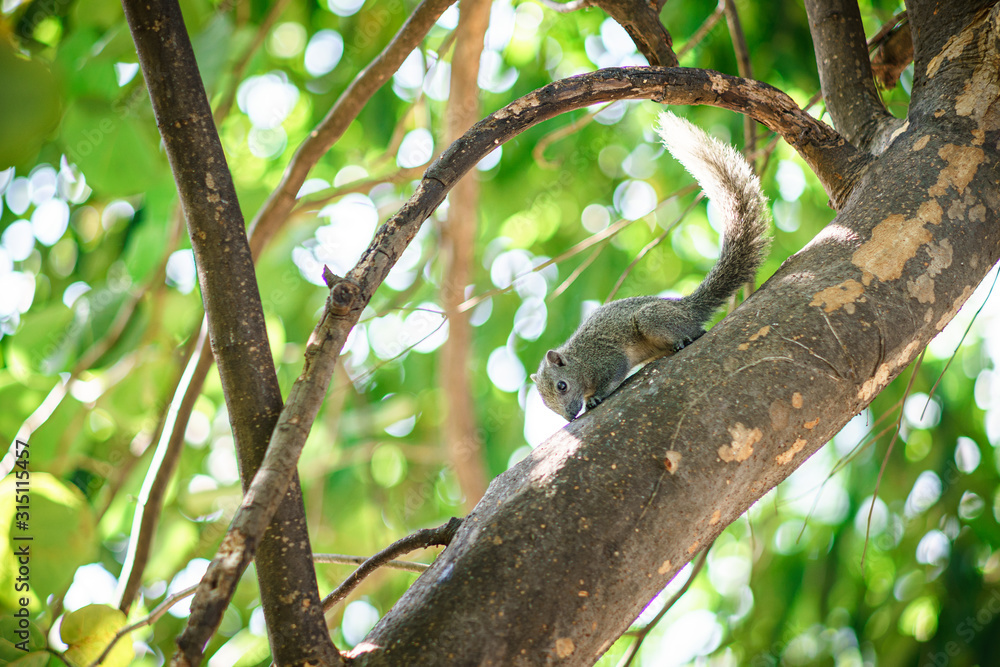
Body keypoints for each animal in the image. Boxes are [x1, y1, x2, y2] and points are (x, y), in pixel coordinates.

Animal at [532, 111, 772, 420]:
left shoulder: (606, 359)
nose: (570, 416)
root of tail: (685, 307)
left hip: (652, 318)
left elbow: (614, 373)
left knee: (692, 329)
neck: (580, 361)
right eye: (547, 405)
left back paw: (683, 339)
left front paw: (596, 397)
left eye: (562, 386)